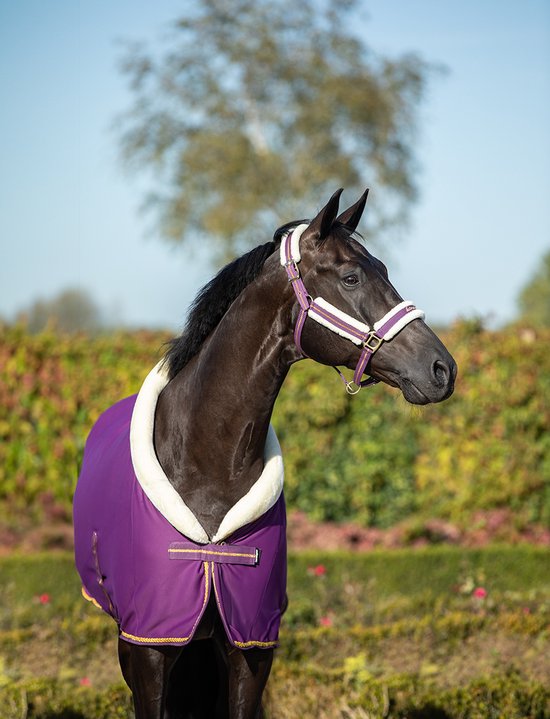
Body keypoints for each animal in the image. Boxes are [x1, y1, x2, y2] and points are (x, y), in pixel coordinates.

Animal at [73, 188, 456, 718]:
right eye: (351, 276)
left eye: (382, 267)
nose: (442, 368)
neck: (207, 464)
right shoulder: (147, 644)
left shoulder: (250, 644)